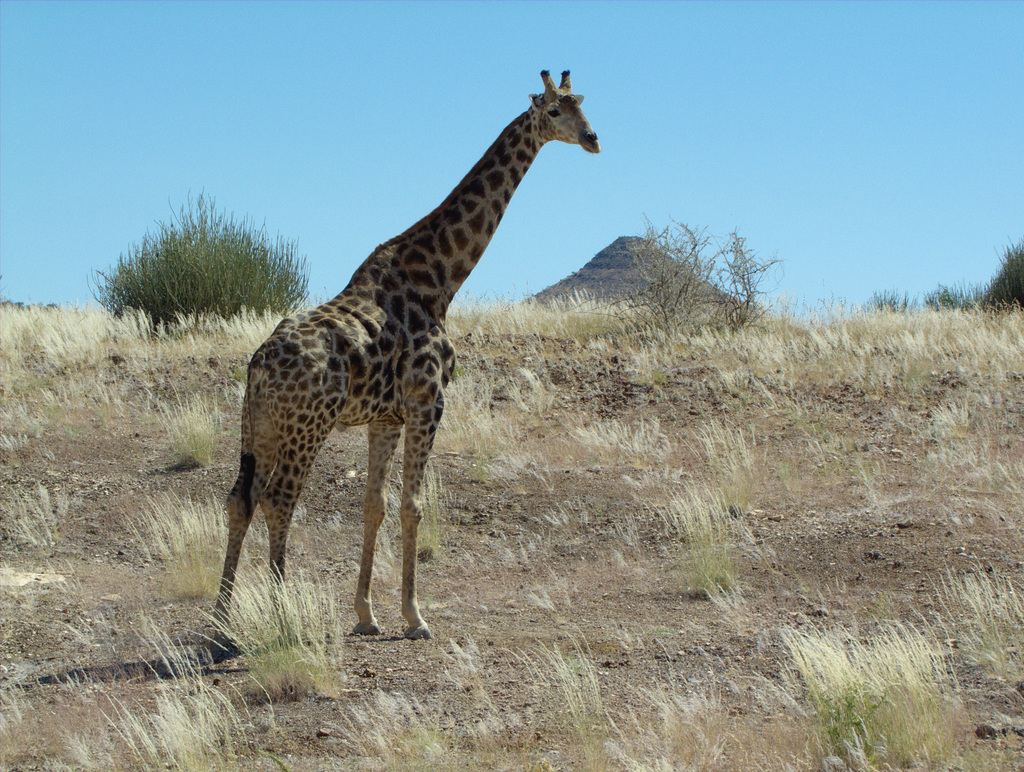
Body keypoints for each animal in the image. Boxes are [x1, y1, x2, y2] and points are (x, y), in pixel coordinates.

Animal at [216, 70, 598, 638]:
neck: (441, 279)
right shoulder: (428, 402)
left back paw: (220, 622)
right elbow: (414, 505)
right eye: (554, 111)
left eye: (583, 105)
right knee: (279, 499)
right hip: (307, 425)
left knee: (240, 498)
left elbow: (374, 504)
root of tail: (258, 367)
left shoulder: (385, 418)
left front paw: (367, 614)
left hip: (258, 425)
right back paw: (282, 616)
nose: (594, 139)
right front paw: (416, 616)